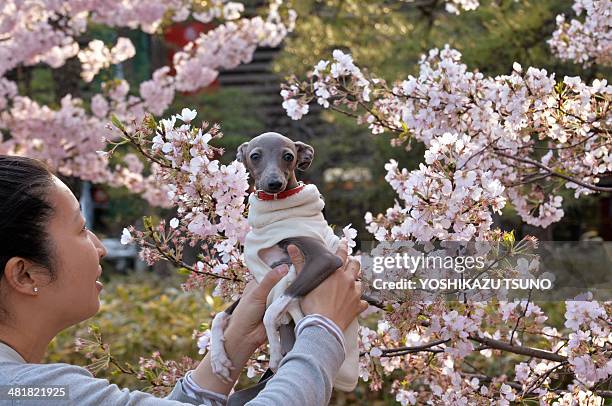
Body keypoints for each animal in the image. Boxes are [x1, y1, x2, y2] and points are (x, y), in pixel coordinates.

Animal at [210, 132, 360, 398]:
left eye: (288, 156)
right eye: (255, 156)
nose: (274, 183)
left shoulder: (324, 260)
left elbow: (271, 311)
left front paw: (275, 354)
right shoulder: (260, 284)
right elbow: (220, 315)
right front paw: (218, 359)